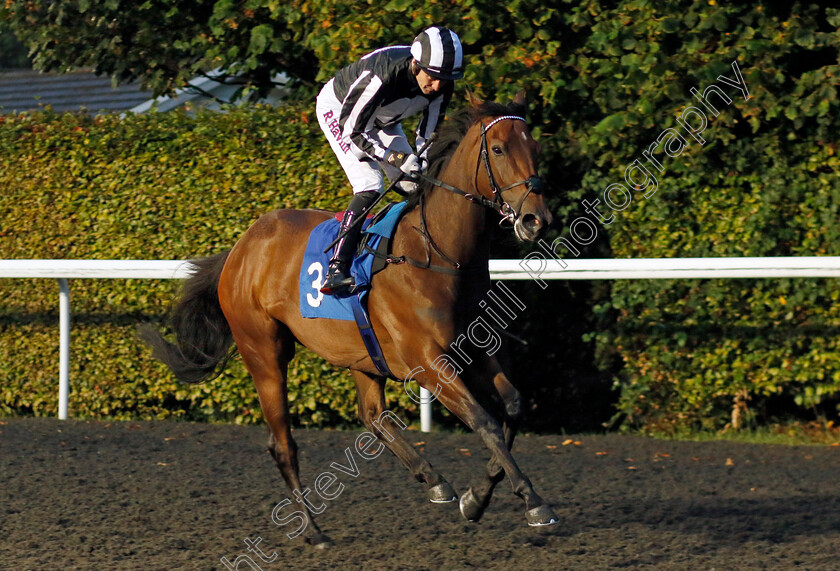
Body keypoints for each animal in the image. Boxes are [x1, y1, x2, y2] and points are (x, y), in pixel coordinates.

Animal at [139, 92, 556, 544]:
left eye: (535, 148)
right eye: (497, 149)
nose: (536, 219)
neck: (438, 254)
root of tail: (240, 248)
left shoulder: (474, 347)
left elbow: (512, 405)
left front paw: (476, 496)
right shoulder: (428, 362)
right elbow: (485, 420)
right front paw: (533, 502)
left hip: (362, 356)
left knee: (372, 417)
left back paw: (433, 480)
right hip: (264, 353)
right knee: (283, 443)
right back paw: (312, 529)